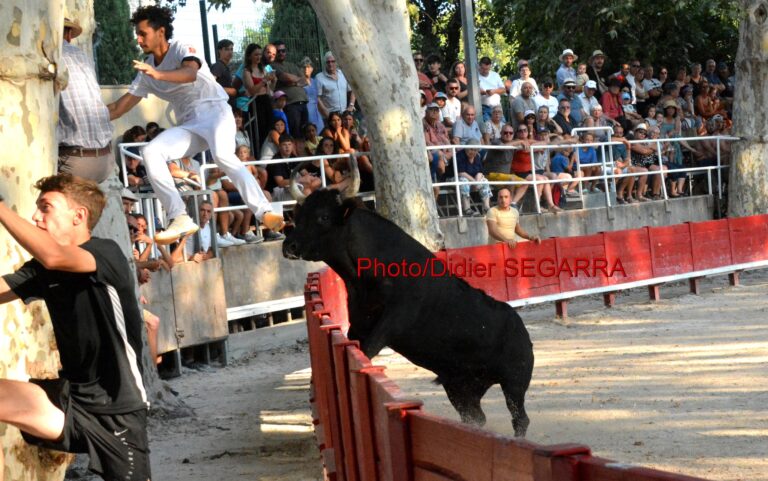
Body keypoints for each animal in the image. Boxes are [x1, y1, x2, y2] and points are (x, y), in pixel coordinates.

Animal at [284, 189, 536, 436]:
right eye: (298, 215)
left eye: (323, 217)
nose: (289, 246)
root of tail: (521, 328)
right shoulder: (359, 322)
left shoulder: (391, 322)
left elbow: (366, 350)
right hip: (459, 388)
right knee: (476, 417)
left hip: (514, 381)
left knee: (520, 418)